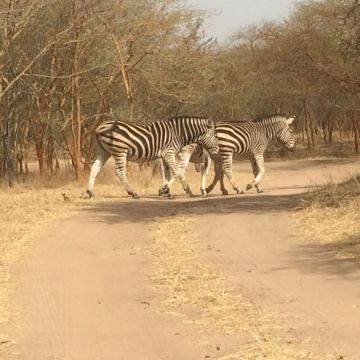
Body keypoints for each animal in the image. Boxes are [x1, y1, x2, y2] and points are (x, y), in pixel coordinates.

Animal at [86, 116, 219, 198]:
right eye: (215, 136)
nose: (217, 150)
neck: (178, 133)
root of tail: (100, 127)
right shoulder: (169, 153)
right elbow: (178, 171)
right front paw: (185, 190)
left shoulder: (164, 156)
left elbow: (167, 174)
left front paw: (166, 191)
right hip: (120, 151)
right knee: (119, 172)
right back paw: (132, 192)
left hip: (103, 151)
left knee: (94, 168)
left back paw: (89, 192)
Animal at [160, 114, 296, 195]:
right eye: (291, 132)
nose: (293, 149)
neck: (264, 132)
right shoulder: (257, 151)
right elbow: (262, 170)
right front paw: (250, 185)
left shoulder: (250, 155)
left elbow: (254, 171)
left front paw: (257, 187)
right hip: (223, 151)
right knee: (226, 170)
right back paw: (237, 189)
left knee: (167, 171)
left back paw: (166, 190)